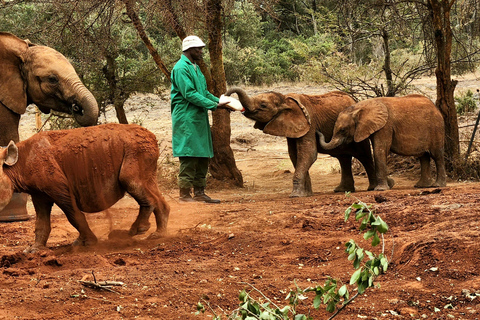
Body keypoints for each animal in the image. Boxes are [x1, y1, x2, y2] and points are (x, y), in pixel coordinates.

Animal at [0, 124, 171, 251]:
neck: (16, 166)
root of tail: (152, 137)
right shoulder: (38, 194)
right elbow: (41, 221)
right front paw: (34, 250)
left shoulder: (59, 189)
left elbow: (74, 214)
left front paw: (87, 243)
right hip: (140, 152)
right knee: (149, 185)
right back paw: (158, 235)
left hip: (135, 149)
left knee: (130, 180)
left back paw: (136, 231)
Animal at [226, 87, 378, 198]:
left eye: (263, 105)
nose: (226, 101)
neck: (286, 100)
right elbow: (294, 155)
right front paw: (306, 194)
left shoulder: (309, 124)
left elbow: (308, 153)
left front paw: (295, 196)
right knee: (343, 157)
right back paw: (342, 190)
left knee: (363, 154)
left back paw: (372, 188)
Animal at [318, 94, 446, 190]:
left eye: (343, 130)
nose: (317, 132)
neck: (360, 106)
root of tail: (436, 108)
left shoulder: (385, 125)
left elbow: (380, 150)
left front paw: (380, 189)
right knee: (423, 157)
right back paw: (422, 186)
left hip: (436, 128)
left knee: (437, 156)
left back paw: (437, 185)